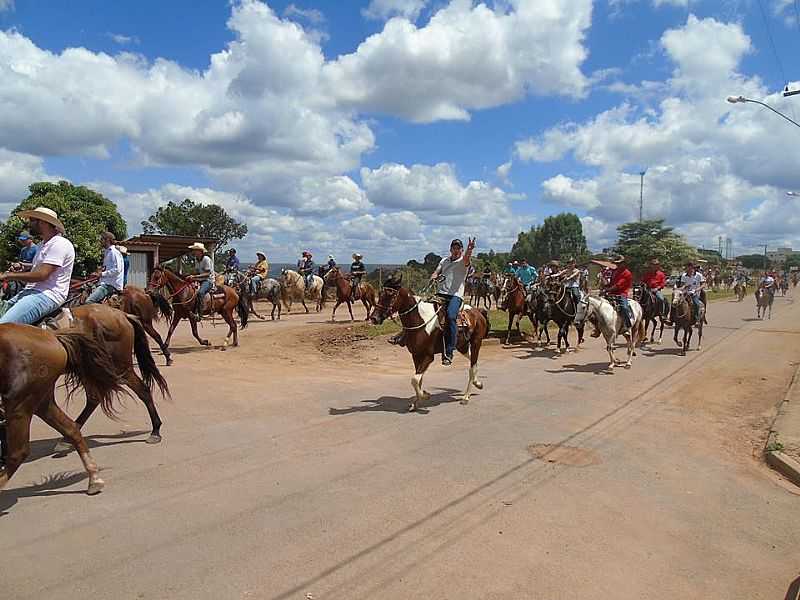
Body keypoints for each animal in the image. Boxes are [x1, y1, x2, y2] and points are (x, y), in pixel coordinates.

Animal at [0, 326, 128, 494]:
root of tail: (52, 336)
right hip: (41, 402)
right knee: (71, 429)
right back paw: (94, 478)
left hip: (19, 402)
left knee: (18, 452)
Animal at [46, 304, 170, 450]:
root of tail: (124, 315)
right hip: (90, 369)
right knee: (94, 399)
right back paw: (67, 438)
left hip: (119, 368)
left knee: (142, 390)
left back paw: (155, 431)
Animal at [368, 278, 488, 412]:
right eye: (380, 294)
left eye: (390, 295)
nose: (374, 318)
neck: (420, 320)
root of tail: (478, 311)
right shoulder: (416, 355)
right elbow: (418, 379)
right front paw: (416, 403)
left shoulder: (428, 356)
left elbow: (414, 379)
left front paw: (425, 395)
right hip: (462, 346)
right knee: (473, 361)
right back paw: (478, 383)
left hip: (476, 342)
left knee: (472, 367)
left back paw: (466, 397)